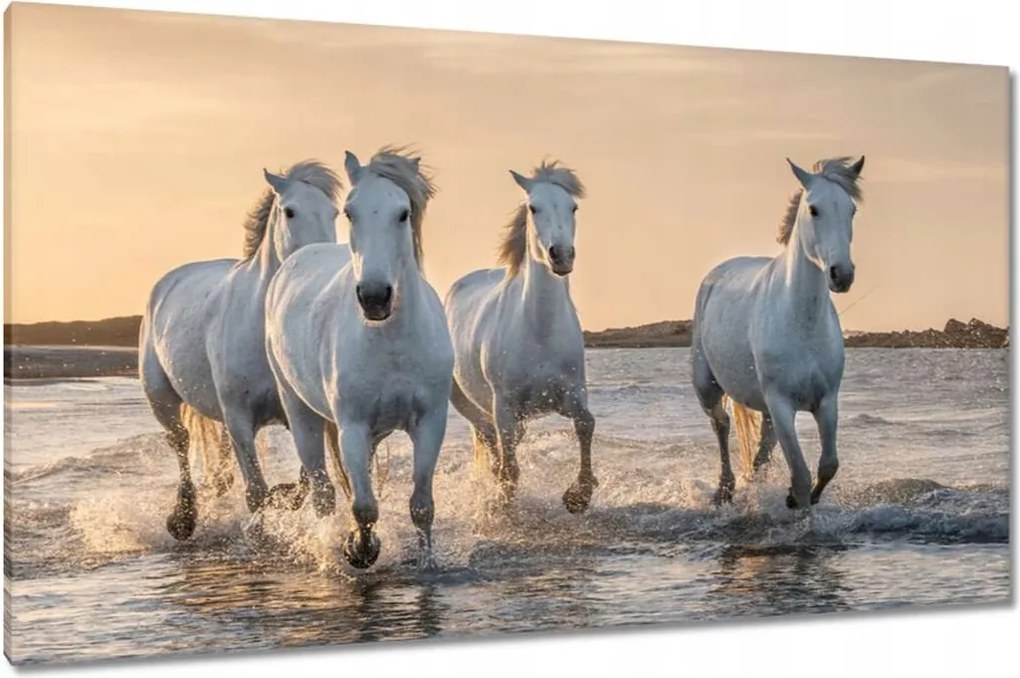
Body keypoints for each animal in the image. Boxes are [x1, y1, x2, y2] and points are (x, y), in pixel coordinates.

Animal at [139, 161, 342, 540]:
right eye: (290, 211)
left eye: (335, 212)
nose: (318, 262)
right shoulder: (240, 418)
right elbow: (256, 492)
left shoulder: (299, 414)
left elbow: (303, 482)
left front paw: (283, 496)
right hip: (162, 399)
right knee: (181, 443)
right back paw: (183, 519)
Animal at [264, 147, 451, 570]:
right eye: (350, 212)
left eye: (403, 213)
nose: (374, 297)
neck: (392, 342)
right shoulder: (352, 426)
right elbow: (363, 506)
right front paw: (359, 549)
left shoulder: (430, 421)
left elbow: (422, 506)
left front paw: (427, 563)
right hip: (300, 411)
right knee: (323, 490)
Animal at [444, 160, 597, 513]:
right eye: (533, 207)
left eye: (573, 206)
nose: (561, 256)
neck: (540, 331)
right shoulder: (505, 407)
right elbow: (510, 469)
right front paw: (504, 505)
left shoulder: (572, 394)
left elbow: (586, 424)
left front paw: (579, 495)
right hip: (470, 404)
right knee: (490, 441)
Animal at [690, 155, 865, 509]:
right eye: (814, 209)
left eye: (851, 209)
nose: (841, 274)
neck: (801, 323)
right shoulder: (781, 404)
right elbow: (800, 476)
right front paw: (797, 502)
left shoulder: (826, 402)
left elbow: (827, 465)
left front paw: (797, 499)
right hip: (707, 387)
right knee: (721, 425)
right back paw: (724, 490)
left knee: (760, 450)